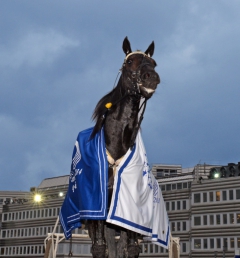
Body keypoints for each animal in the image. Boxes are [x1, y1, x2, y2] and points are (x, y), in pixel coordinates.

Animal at [87, 36, 160, 258]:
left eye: (154, 63)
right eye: (129, 62)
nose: (151, 77)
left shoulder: (130, 211)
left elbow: (132, 247)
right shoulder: (98, 210)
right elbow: (99, 247)